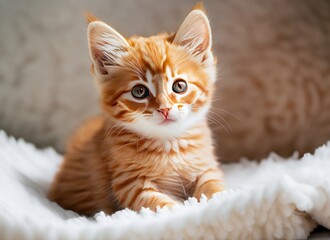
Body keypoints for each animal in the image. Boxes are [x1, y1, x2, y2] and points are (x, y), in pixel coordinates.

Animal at [48, 6, 224, 216]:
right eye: (139, 91)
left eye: (179, 86)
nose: (164, 109)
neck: (169, 147)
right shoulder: (130, 184)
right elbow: (160, 204)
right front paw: (180, 211)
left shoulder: (207, 168)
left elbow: (214, 186)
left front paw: (218, 201)